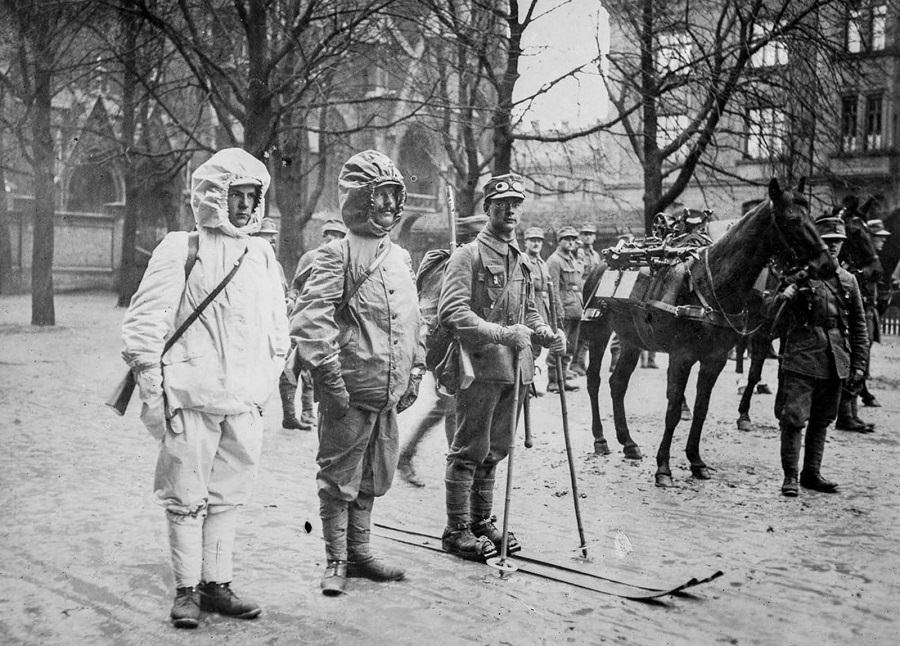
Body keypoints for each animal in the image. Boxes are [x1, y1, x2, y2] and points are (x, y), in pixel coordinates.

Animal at [584, 180, 836, 488]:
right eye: (791, 219)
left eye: (812, 217)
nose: (828, 265)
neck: (711, 282)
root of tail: (600, 264)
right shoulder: (681, 356)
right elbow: (672, 411)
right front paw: (663, 468)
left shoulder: (714, 359)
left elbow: (702, 410)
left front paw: (696, 462)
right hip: (598, 330)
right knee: (594, 380)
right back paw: (600, 439)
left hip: (633, 339)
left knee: (617, 383)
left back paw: (629, 443)